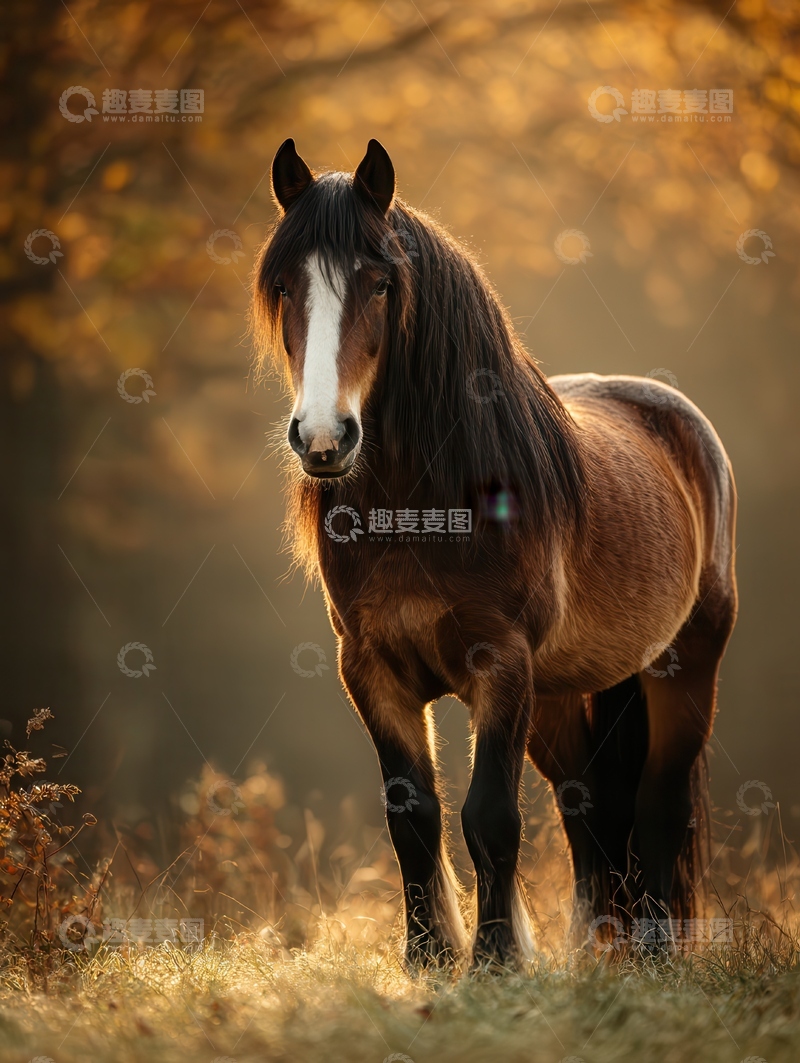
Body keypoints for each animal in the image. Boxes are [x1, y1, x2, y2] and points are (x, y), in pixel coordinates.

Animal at [252, 138, 738, 971]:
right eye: (285, 286)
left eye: (380, 283)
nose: (323, 437)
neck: (420, 512)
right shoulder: (372, 669)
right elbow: (412, 815)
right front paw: (429, 955)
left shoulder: (500, 664)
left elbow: (489, 816)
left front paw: (497, 959)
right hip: (558, 698)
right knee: (590, 810)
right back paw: (597, 951)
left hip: (683, 666)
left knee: (658, 804)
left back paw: (653, 955)